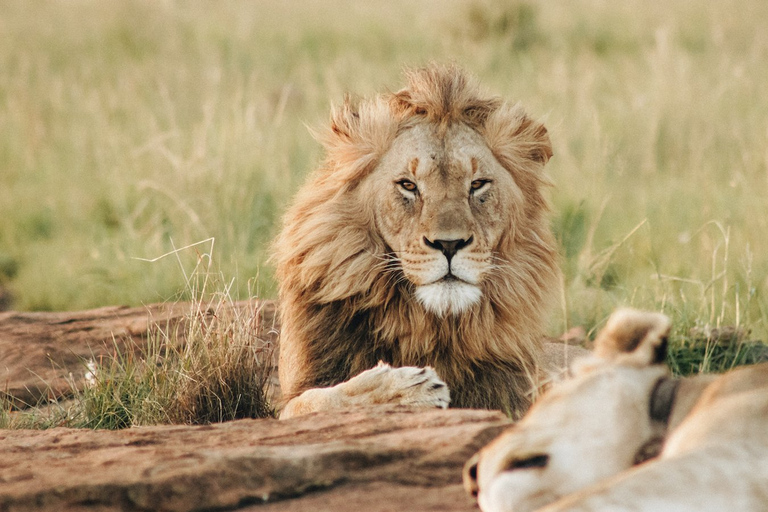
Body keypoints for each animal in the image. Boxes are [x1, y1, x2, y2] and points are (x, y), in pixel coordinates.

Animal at [272, 65, 572, 420]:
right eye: (408, 185)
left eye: (478, 185)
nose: (449, 244)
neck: (428, 326)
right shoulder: (294, 397)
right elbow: (320, 399)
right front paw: (406, 389)